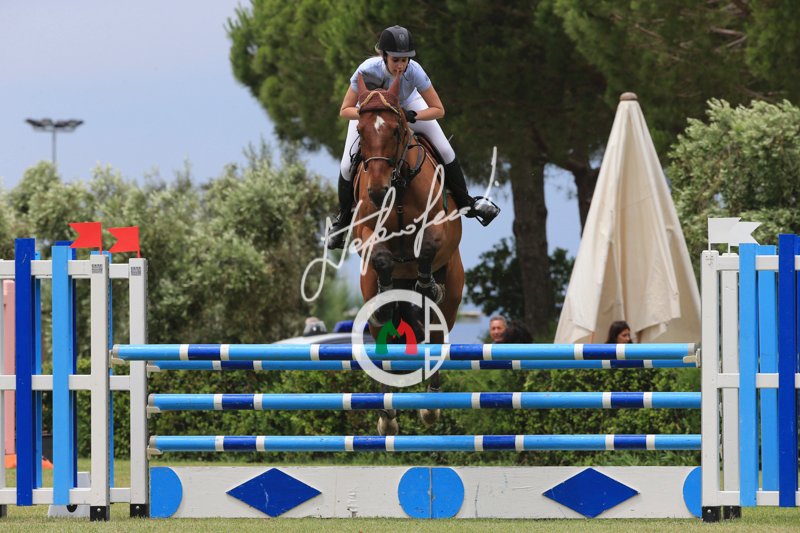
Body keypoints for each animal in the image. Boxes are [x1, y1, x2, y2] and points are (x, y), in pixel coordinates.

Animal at [350, 73, 464, 435]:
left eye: (397, 130)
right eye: (361, 131)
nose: (377, 190)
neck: (398, 186)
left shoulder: (441, 225)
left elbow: (426, 246)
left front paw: (427, 287)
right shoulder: (365, 231)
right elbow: (382, 256)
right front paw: (388, 293)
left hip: (452, 300)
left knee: (438, 339)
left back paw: (431, 406)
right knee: (383, 348)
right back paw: (386, 415)